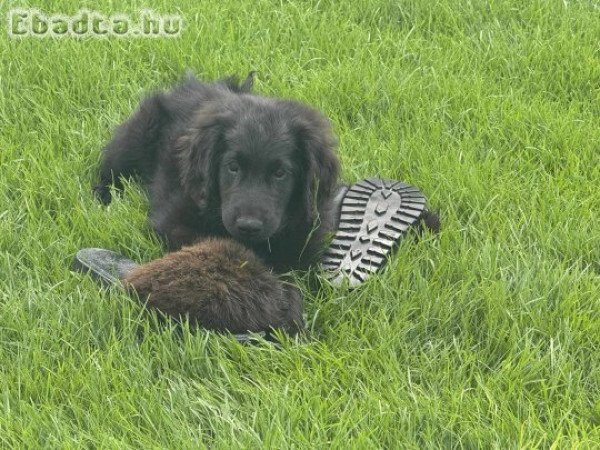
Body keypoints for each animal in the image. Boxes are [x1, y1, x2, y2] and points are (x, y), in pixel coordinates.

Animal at [93, 73, 338, 270]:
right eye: (233, 167)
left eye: (280, 173)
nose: (248, 226)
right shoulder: (172, 220)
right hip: (135, 136)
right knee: (109, 169)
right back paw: (103, 195)